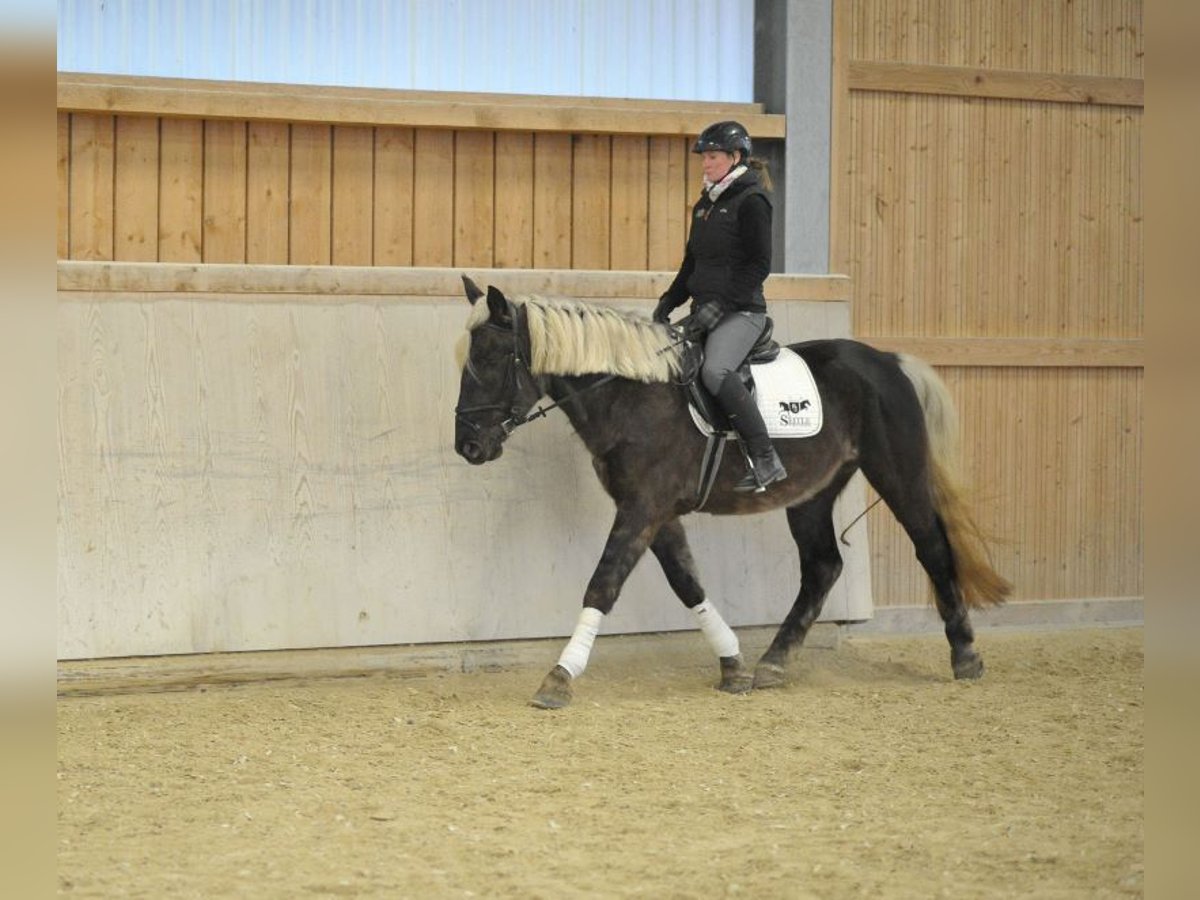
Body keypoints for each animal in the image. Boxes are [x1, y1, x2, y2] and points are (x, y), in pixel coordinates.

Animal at [453, 278, 1008, 710]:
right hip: (812, 492)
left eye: (490, 357)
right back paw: (773, 663)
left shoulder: (643, 508)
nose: (469, 446)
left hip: (896, 473)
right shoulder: (653, 510)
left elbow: (602, 585)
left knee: (931, 547)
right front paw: (732, 665)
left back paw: (965, 655)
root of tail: (887, 361)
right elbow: (687, 584)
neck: (630, 397)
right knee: (823, 566)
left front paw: (559, 676)